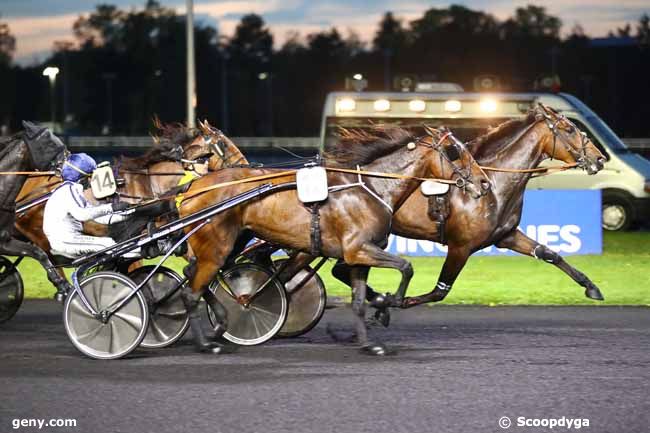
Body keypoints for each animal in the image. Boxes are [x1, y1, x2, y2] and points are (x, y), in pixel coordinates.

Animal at [177, 125, 492, 354]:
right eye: (454, 151)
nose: (485, 182)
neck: (372, 188)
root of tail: (192, 188)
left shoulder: (360, 257)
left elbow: (359, 301)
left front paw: (370, 342)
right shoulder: (357, 250)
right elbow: (406, 267)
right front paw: (391, 301)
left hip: (234, 242)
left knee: (194, 274)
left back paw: (220, 322)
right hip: (218, 246)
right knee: (192, 290)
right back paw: (207, 342)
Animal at [332, 104, 604, 314]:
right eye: (569, 129)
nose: (600, 158)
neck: (492, 186)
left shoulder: (506, 236)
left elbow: (549, 253)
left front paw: (591, 287)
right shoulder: (461, 246)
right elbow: (440, 291)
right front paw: (397, 301)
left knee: (340, 269)